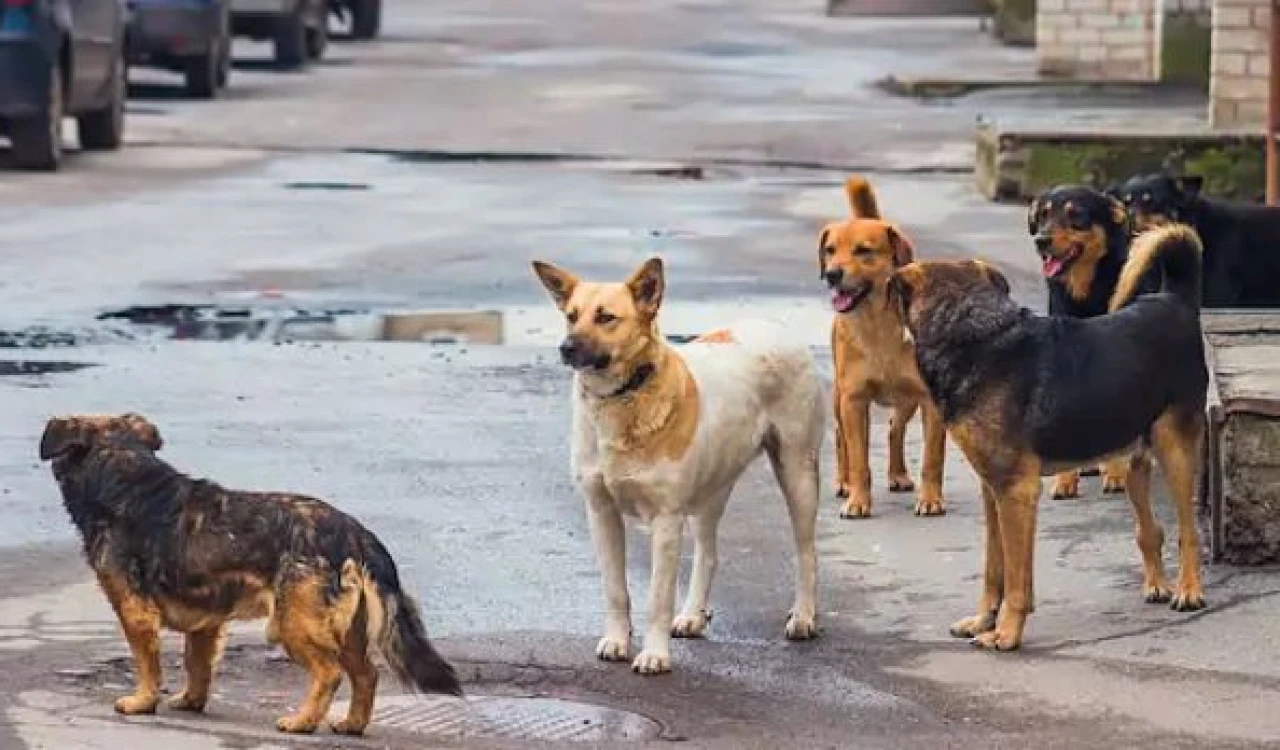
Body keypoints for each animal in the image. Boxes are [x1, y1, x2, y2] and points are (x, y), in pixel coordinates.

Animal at [532, 255, 824, 670]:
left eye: (606, 317)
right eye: (571, 316)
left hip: (797, 473)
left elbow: (658, 597)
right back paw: (693, 615)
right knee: (709, 554)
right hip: (711, 489)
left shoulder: (666, 520)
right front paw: (617, 640)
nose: (565, 348)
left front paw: (654, 655)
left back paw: (803, 616)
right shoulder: (601, 513)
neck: (625, 397)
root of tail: (774, 326)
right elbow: (615, 590)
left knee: (806, 552)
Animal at [819, 174, 952, 514]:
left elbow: (932, 458)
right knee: (840, 437)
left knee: (895, 427)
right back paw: (843, 482)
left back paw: (898, 474)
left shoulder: (930, 400)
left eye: (863, 250)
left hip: (907, 399)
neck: (877, 325)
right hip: (839, 397)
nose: (832, 274)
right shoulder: (853, 400)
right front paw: (857, 500)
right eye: (830, 250)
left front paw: (930, 499)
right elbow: (858, 459)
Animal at [890, 221, 1208, 647]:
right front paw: (983, 620)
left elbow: (1017, 580)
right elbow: (994, 569)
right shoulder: (993, 490)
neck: (975, 335)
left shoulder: (1017, 492)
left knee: (1188, 532)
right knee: (1150, 529)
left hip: (1175, 450)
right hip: (1132, 459)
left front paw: (1006, 633)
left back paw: (1189, 591)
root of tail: (1175, 299)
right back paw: (1157, 584)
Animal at [1024, 183, 1167, 496]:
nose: (1041, 241)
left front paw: (1115, 474)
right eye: (1043, 215)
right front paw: (1065, 481)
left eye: (1076, 215)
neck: (1085, 292)